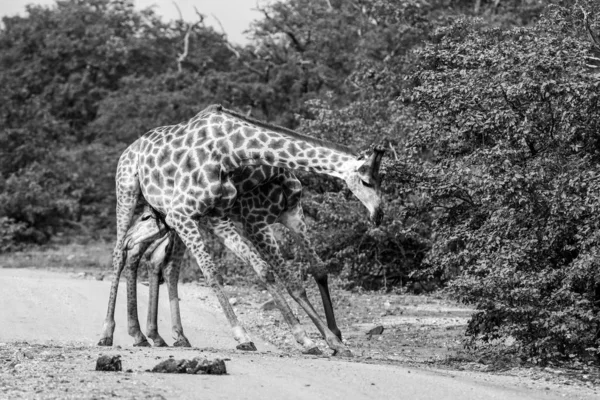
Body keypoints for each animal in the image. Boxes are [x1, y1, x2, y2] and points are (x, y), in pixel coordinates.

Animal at [99, 104, 384, 356]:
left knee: (147, 255)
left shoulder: (281, 214)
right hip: (132, 194)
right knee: (122, 252)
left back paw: (150, 335)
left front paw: (332, 338)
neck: (233, 151)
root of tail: (130, 148)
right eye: (366, 181)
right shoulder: (250, 221)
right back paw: (109, 333)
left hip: (164, 218)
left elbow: (306, 269)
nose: (379, 214)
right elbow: (233, 275)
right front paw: (245, 336)